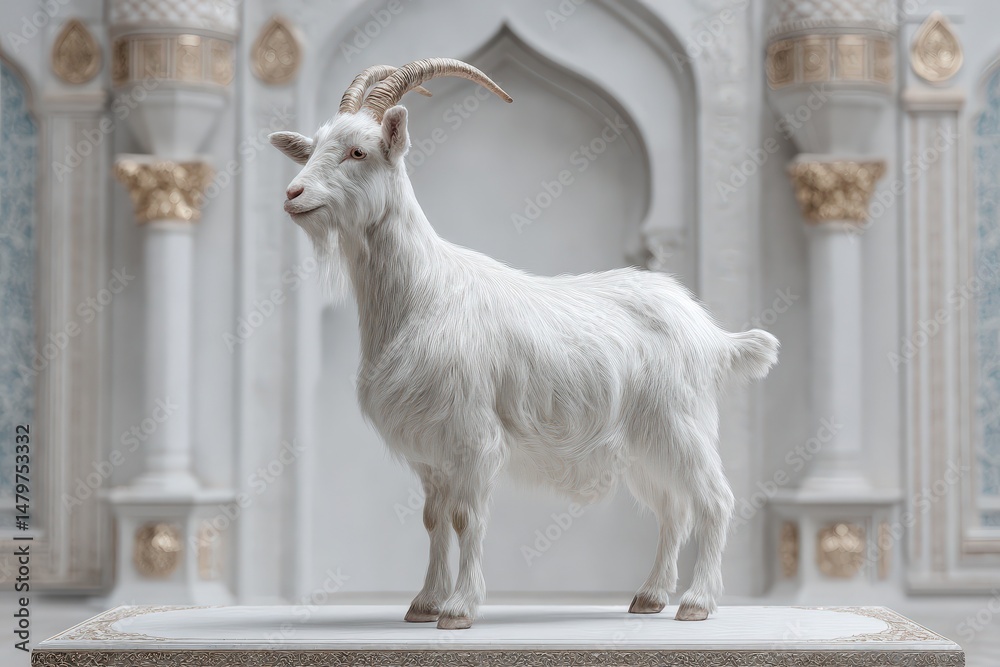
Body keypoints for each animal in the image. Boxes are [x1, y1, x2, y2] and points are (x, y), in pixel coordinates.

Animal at [270, 59, 778, 630]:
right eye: (311, 149)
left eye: (359, 151)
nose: (293, 195)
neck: (424, 291)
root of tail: (709, 333)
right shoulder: (432, 449)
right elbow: (433, 519)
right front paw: (424, 602)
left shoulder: (473, 434)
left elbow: (466, 518)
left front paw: (459, 609)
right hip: (645, 444)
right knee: (673, 508)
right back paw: (649, 596)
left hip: (680, 423)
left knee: (714, 500)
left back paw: (696, 602)